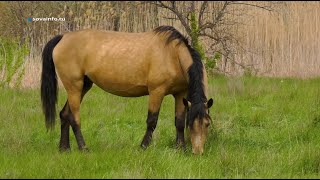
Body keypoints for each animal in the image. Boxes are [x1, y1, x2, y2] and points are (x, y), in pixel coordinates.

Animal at [41, 25, 214, 155]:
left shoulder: (180, 94)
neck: (172, 54)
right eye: (191, 124)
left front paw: (180, 148)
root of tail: (63, 37)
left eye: (207, 124)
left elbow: (178, 122)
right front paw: (143, 147)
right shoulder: (156, 92)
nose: (197, 152)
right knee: (74, 118)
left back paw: (64, 149)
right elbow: (152, 121)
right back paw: (84, 148)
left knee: (65, 114)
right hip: (74, 87)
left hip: (83, 86)